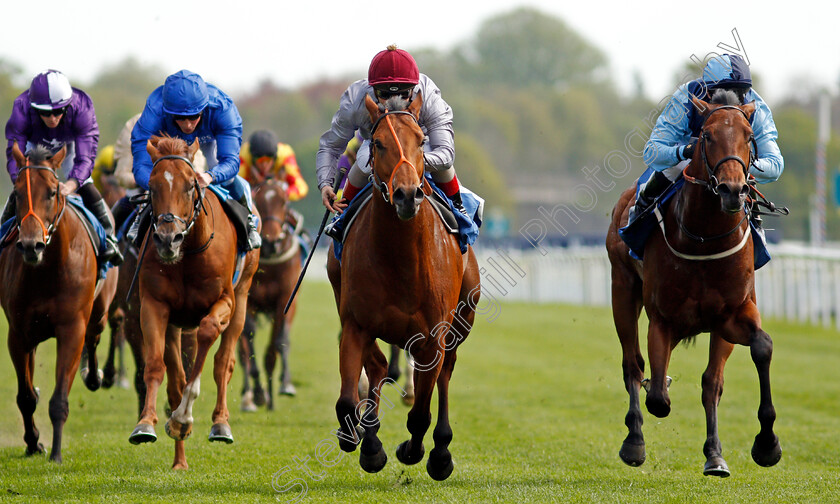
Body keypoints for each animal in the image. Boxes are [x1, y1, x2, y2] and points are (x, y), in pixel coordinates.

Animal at [1, 144, 118, 462]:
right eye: (16, 193)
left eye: (53, 192)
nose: (31, 245)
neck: (48, 269)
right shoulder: (18, 333)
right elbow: (26, 397)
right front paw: (34, 442)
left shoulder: (71, 329)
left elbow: (59, 400)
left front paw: (55, 453)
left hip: (100, 311)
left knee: (95, 336)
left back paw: (94, 374)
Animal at [127, 136, 260, 470]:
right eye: (152, 185)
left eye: (190, 185)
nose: (167, 238)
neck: (188, 254)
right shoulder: (155, 304)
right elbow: (155, 365)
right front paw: (147, 423)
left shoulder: (224, 301)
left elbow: (208, 334)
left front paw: (185, 416)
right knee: (175, 379)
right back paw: (180, 460)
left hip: (242, 296)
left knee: (224, 361)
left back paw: (220, 423)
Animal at [240, 177, 302, 410]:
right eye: (258, 200)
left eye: (283, 201)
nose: (271, 241)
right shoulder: (248, 300)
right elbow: (249, 341)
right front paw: (258, 392)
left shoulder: (284, 300)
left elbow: (278, 343)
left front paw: (285, 384)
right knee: (241, 352)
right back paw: (249, 395)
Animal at [324, 92, 480, 482]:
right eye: (378, 143)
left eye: (421, 141)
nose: (407, 195)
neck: (402, 259)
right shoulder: (356, 323)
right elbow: (347, 399)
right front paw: (364, 443)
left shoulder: (433, 338)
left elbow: (421, 411)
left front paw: (417, 451)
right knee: (378, 368)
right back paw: (370, 438)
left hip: (462, 321)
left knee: (445, 375)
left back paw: (440, 450)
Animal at [608, 94, 784, 476]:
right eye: (706, 135)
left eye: (750, 137)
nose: (733, 189)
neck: (704, 238)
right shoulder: (663, 318)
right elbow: (658, 397)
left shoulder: (731, 314)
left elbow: (760, 348)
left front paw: (767, 444)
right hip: (622, 289)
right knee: (633, 364)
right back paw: (634, 440)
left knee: (710, 382)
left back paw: (715, 455)